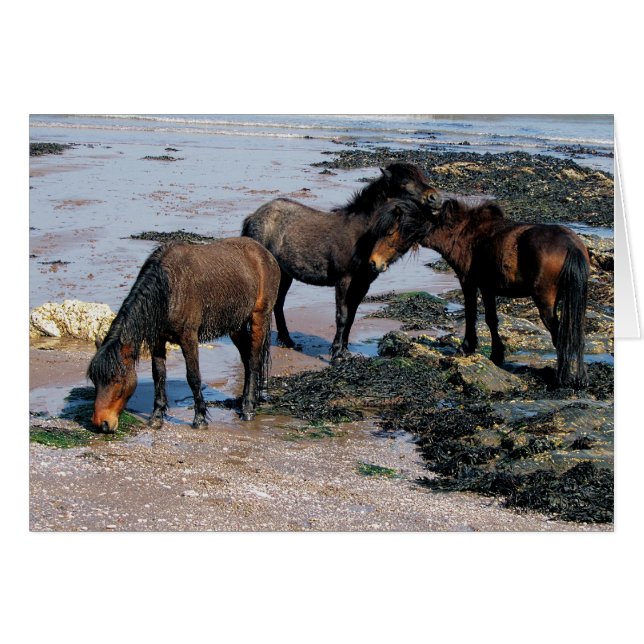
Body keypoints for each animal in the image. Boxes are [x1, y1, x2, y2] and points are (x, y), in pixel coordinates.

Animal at [87, 237, 281, 432]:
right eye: (95, 381)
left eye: (117, 380)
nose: (101, 423)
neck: (168, 290)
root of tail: (265, 253)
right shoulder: (158, 341)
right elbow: (159, 375)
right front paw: (156, 417)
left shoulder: (189, 339)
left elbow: (193, 377)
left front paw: (200, 419)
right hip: (236, 326)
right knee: (247, 360)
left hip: (259, 317)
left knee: (253, 361)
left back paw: (248, 408)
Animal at [241, 162, 441, 362]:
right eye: (404, 183)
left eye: (423, 177)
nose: (436, 198)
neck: (359, 235)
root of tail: (254, 216)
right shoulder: (344, 280)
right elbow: (342, 315)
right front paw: (336, 353)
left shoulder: (363, 284)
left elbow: (351, 315)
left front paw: (344, 350)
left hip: (284, 274)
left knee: (279, 303)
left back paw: (287, 340)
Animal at [369, 198, 591, 388]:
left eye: (389, 232)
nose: (373, 262)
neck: (463, 232)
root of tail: (571, 246)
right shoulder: (487, 287)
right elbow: (491, 319)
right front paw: (496, 355)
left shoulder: (469, 282)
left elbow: (472, 315)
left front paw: (467, 347)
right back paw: (579, 376)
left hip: (545, 303)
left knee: (560, 335)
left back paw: (562, 377)